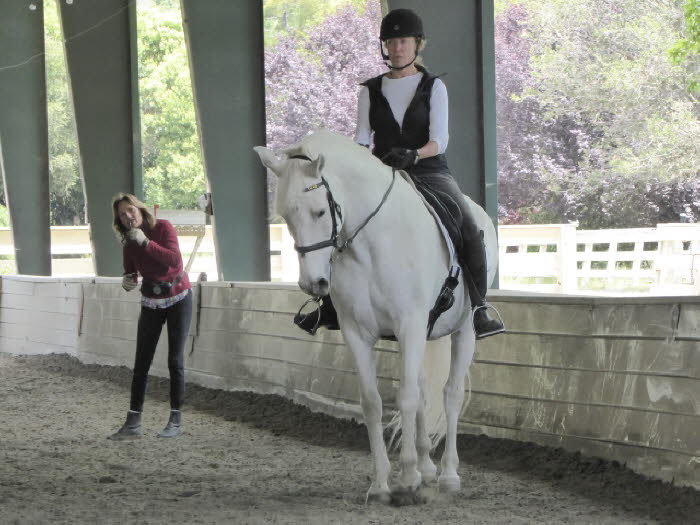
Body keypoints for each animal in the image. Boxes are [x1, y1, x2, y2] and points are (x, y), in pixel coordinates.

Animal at [258, 129, 498, 502]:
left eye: (319, 212)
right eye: (285, 216)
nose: (313, 284)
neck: (369, 245)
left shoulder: (410, 325)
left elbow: (407, 397)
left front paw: (408, 478)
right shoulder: (357, 333)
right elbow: (372, 402)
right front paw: (382, 483)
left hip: (464, 331)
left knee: (451, 394)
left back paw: (447, 475)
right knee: (424, 390)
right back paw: (427, 467)